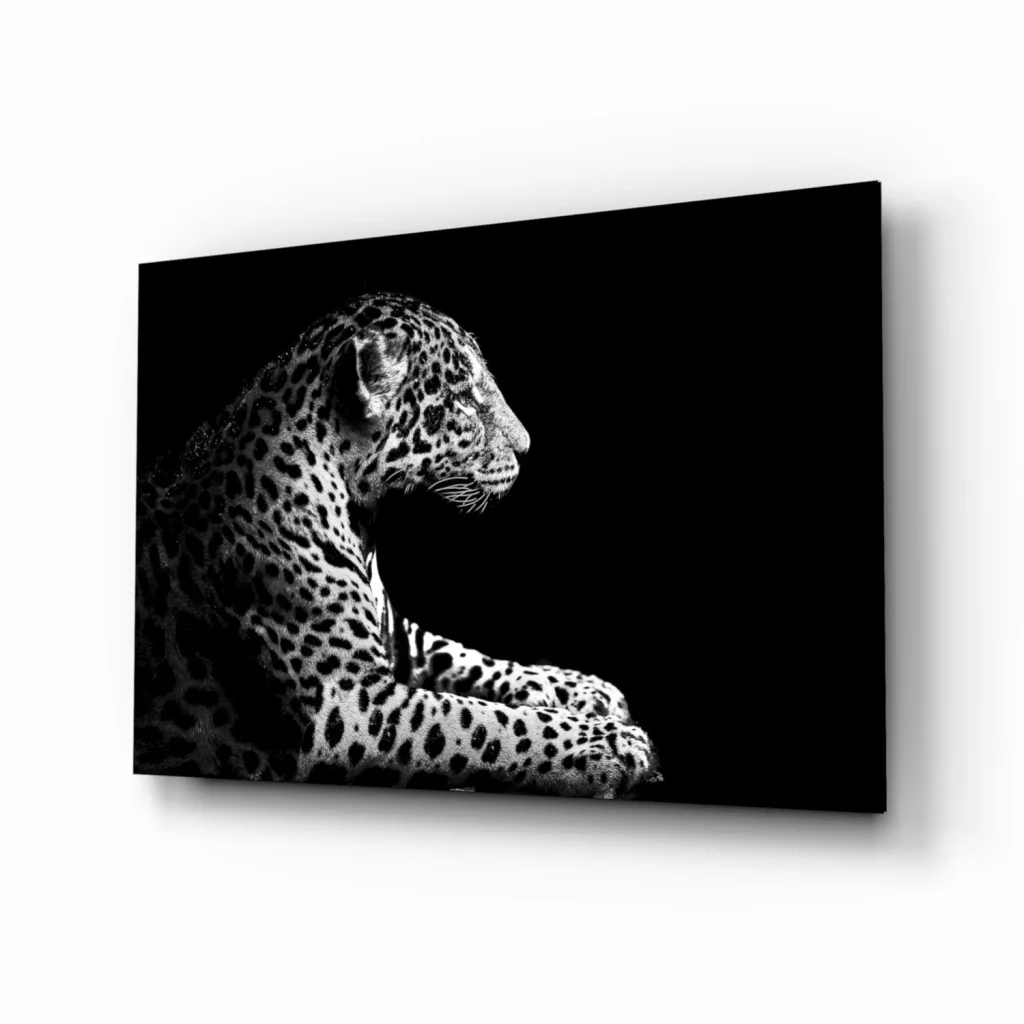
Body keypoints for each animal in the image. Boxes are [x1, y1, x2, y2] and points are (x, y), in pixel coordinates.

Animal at [134, 292, 660, 799]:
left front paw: (583, 687)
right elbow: (482, 721)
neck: (361, 518)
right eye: (462, 400)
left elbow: (468, 657)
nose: (527, 447)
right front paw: (611, 743)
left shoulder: (399, 638)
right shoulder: (348, 703)